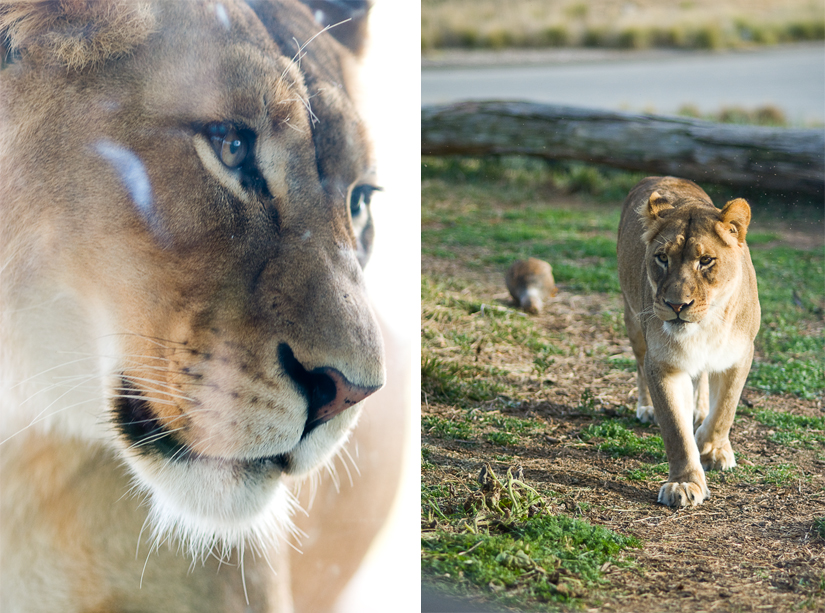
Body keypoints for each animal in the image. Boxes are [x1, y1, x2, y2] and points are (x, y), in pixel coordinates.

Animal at [616, 177, 760, 506]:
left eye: (705, 261)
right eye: (662, 258)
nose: (676, 305)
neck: (706, 326)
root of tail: (657, 178)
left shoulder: (740, 355)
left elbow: (725, 410)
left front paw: (711, 449)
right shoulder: (662, 364)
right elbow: (675, 430)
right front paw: (684, 483)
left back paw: (700, 411)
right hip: (634, 321)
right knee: (639, 367)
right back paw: (647, 408)